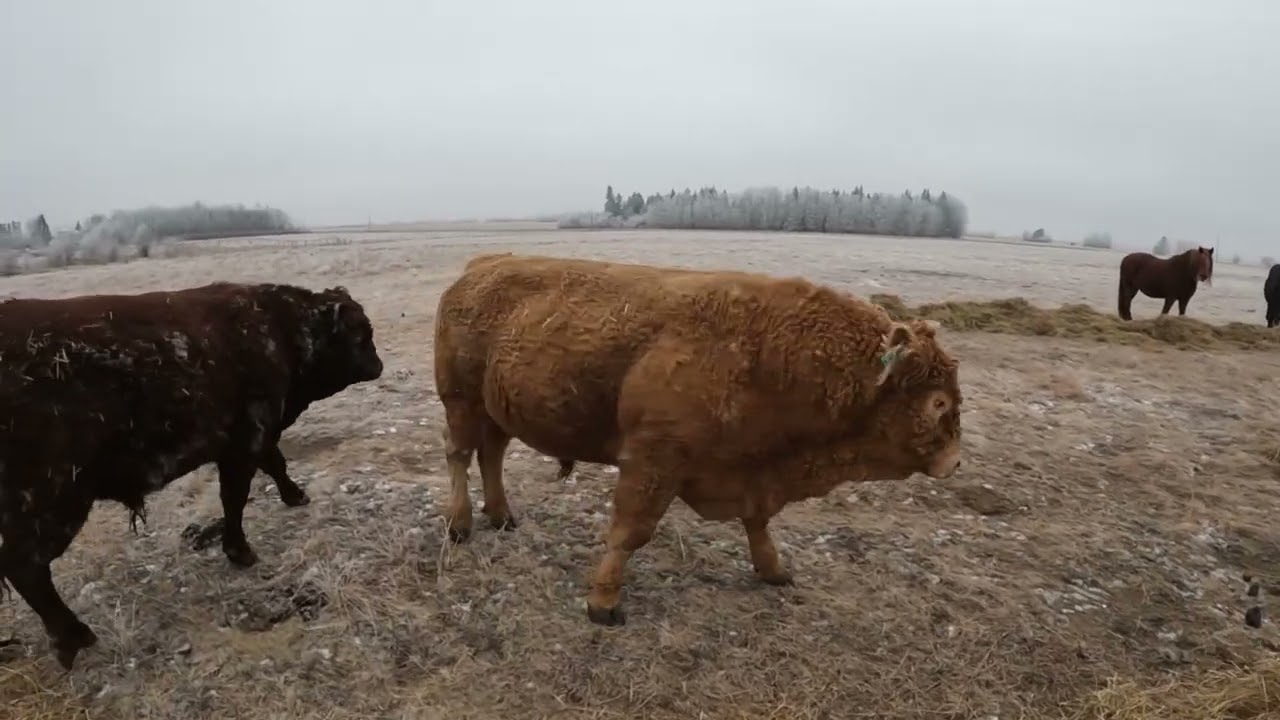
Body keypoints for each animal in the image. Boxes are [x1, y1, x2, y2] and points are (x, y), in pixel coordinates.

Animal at [0, 281, 383, 669]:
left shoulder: (254, 439)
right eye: (360, 332)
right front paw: (240, 552)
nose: (378, 365)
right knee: (26, 568)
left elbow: (274, 465)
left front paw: (295, 496)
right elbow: (236, 497)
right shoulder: (246, 441)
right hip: (57, 501)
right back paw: (75, 638)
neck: (280, 324)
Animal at [433, 253, 963, 626]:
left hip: (496, 409)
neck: (773, 356)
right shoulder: (652, 463)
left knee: (492, 455)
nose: (955, 462)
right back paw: (460, 525)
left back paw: (502, 516)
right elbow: (630, 532)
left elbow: (757, 522)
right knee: (459, 454)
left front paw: (774, 570)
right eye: (937, 401)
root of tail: (480, 266)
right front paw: (604, 604)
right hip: (459, 400)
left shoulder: (750, 468)